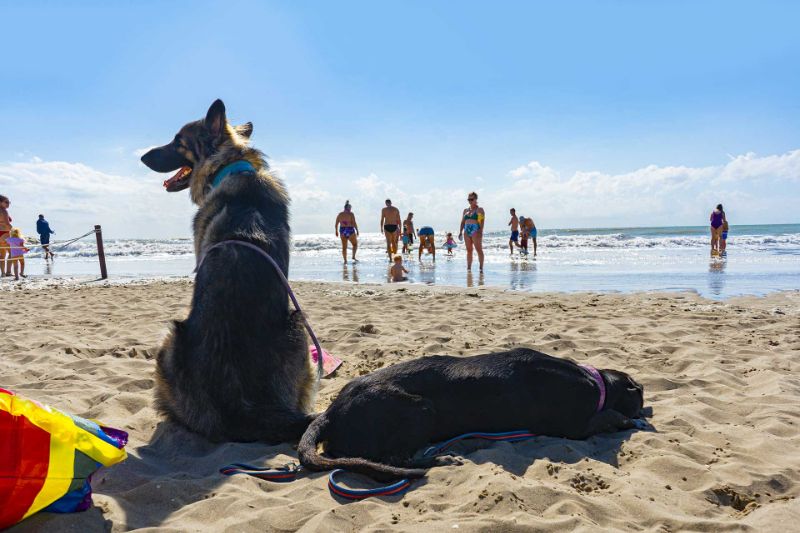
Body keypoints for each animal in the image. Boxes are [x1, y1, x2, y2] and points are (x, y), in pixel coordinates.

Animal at [139, 98, 314, 440]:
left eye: (178, 142)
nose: (142, 157)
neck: (230, 165)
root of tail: (240, 404)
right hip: (298, 330)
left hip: (170, 341)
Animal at [296, 348, 648, 480]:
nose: (646, 397)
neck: (594, 381)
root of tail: (331, 411)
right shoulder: (573, 425)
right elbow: (605, 418)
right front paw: (627, 418)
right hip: (420, 409)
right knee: (396, 459)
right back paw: (440, 459)